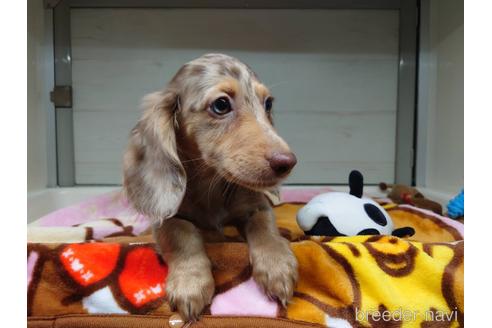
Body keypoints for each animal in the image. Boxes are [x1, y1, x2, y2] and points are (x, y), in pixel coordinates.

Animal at [125, 53, 298, 320]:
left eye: (268, 104)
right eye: (221, 105)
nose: (287, 163)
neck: (211, 186)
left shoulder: (257, 207)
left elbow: (265, 227)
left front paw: (277, 266)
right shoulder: (168, 220)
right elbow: (182, 234)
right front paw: (190, 282)